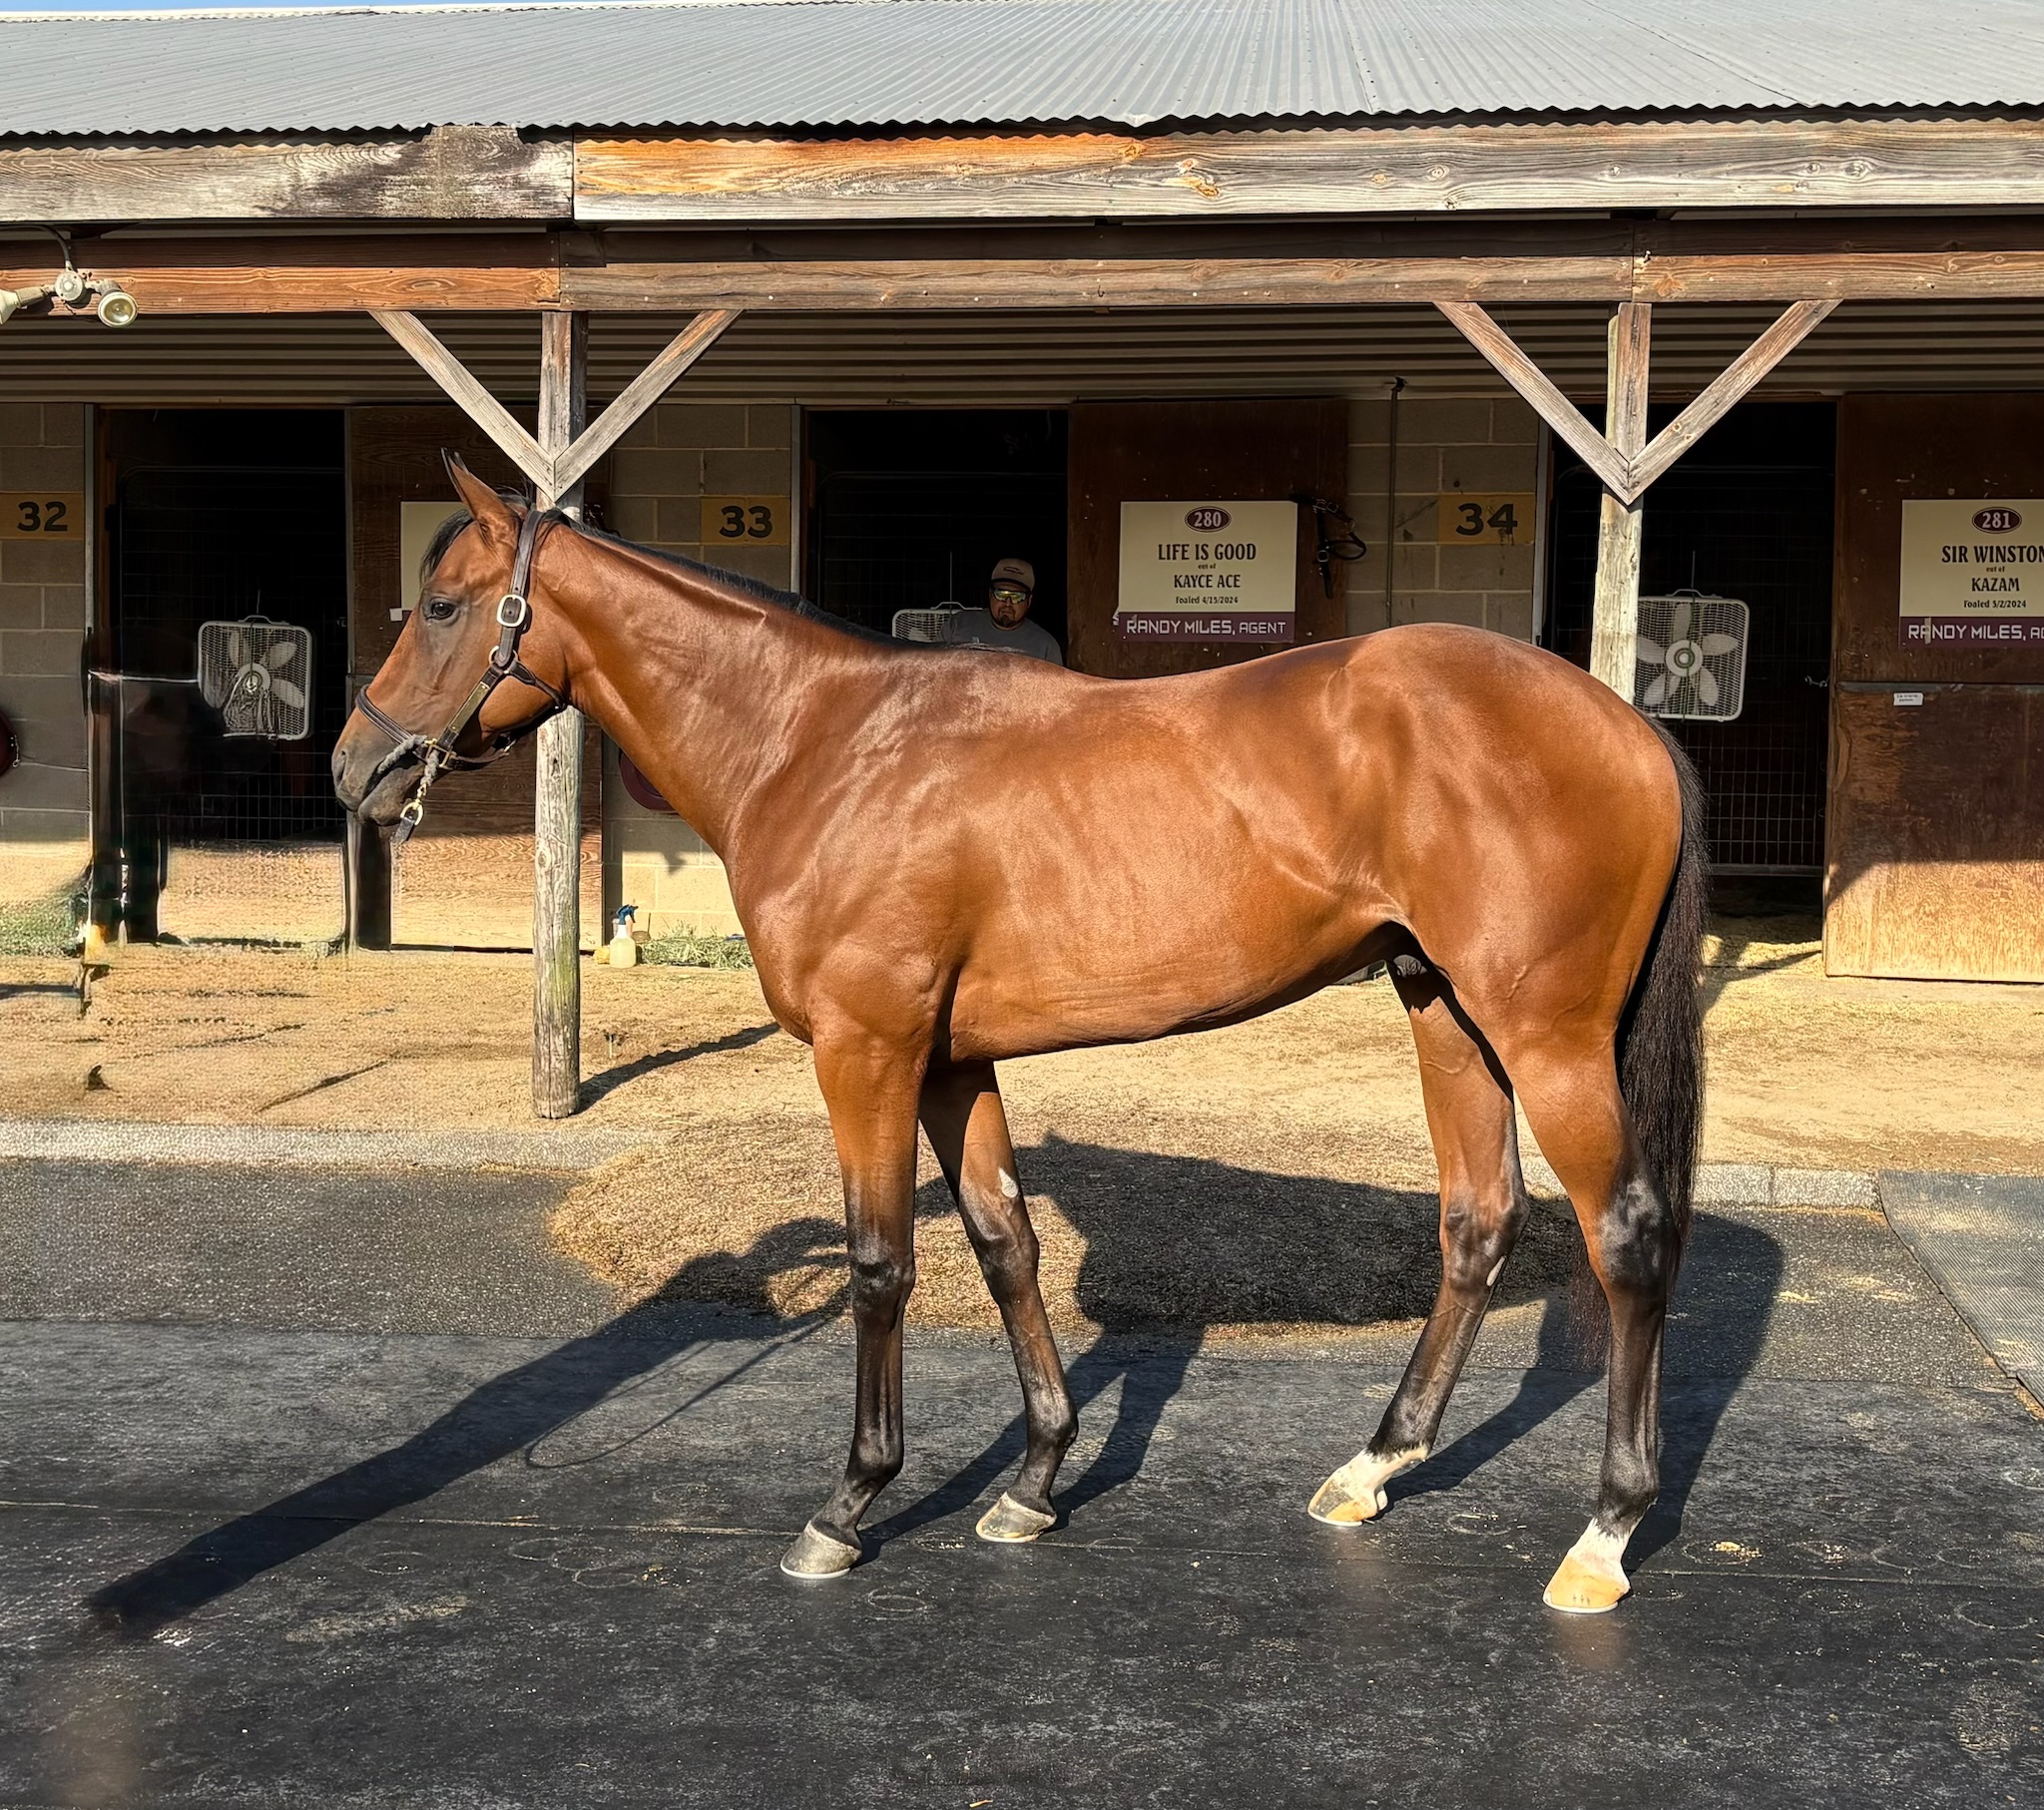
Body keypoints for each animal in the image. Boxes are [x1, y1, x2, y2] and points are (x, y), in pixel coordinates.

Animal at [332, 454, 1706, 1615]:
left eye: (443, 605)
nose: (355, 771)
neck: (821, 745)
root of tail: (1626, 722)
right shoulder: (950, 1061)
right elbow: (1004, 1245)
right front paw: (1036, 1480)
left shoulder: (867, 1051)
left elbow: (881, 1263)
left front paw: (847, 1505)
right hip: (1446, 1012)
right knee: (1476, 1220)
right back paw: (1371, 1467)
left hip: (1543, 1035)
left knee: (1626, 1238)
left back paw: (1602, 1534)